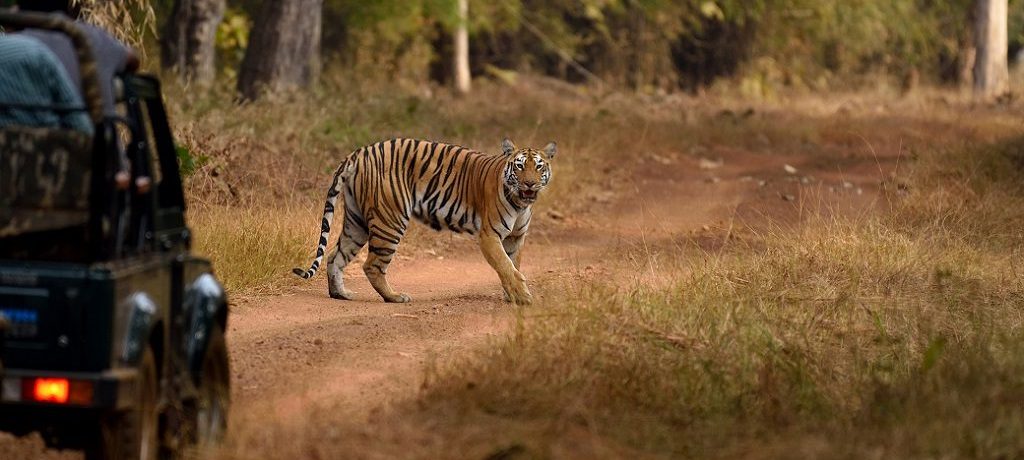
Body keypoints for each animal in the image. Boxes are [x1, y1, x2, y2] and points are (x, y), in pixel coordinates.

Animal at [292, 138, 557, 307]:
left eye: (539, 166)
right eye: (519, 166)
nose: (530, 183)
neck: (521, 203)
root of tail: (361, 151)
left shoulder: (515, 237)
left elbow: (513, 265)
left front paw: (512, 296)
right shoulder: (489, 235)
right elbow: (506, 266)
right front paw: (523, 297)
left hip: (356, 223)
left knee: (334, 256)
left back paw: (341, 294)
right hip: (390, 219)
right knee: (372, 265)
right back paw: (395, 297)